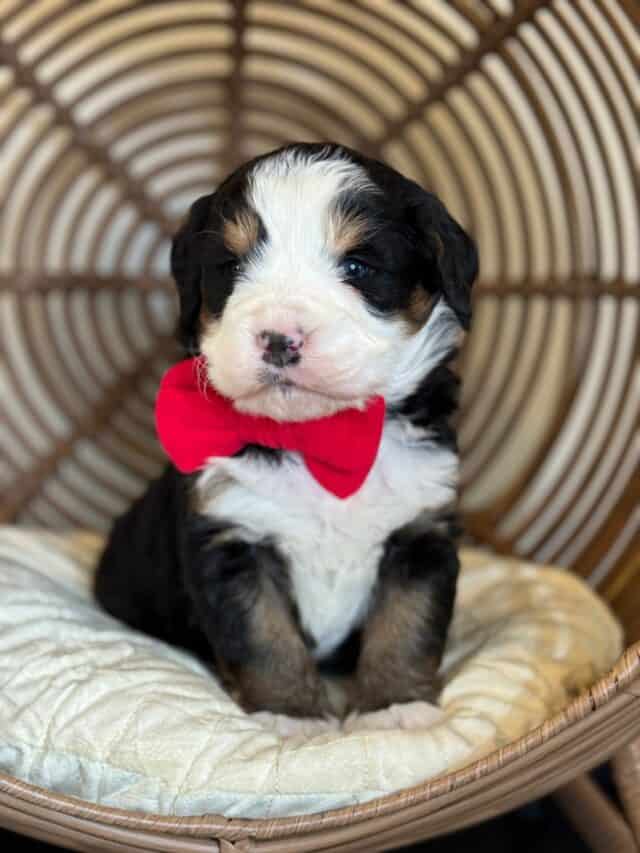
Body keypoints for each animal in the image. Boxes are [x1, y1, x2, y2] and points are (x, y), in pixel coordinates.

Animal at [94, 143, 476, 716]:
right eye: (231, 266)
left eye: (358, 266)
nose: (279, 339)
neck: (317, 438)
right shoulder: (231, 537)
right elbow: (263, 637)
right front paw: (290, 712)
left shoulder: (419, 529)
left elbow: (407, 624)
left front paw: (396, 705)